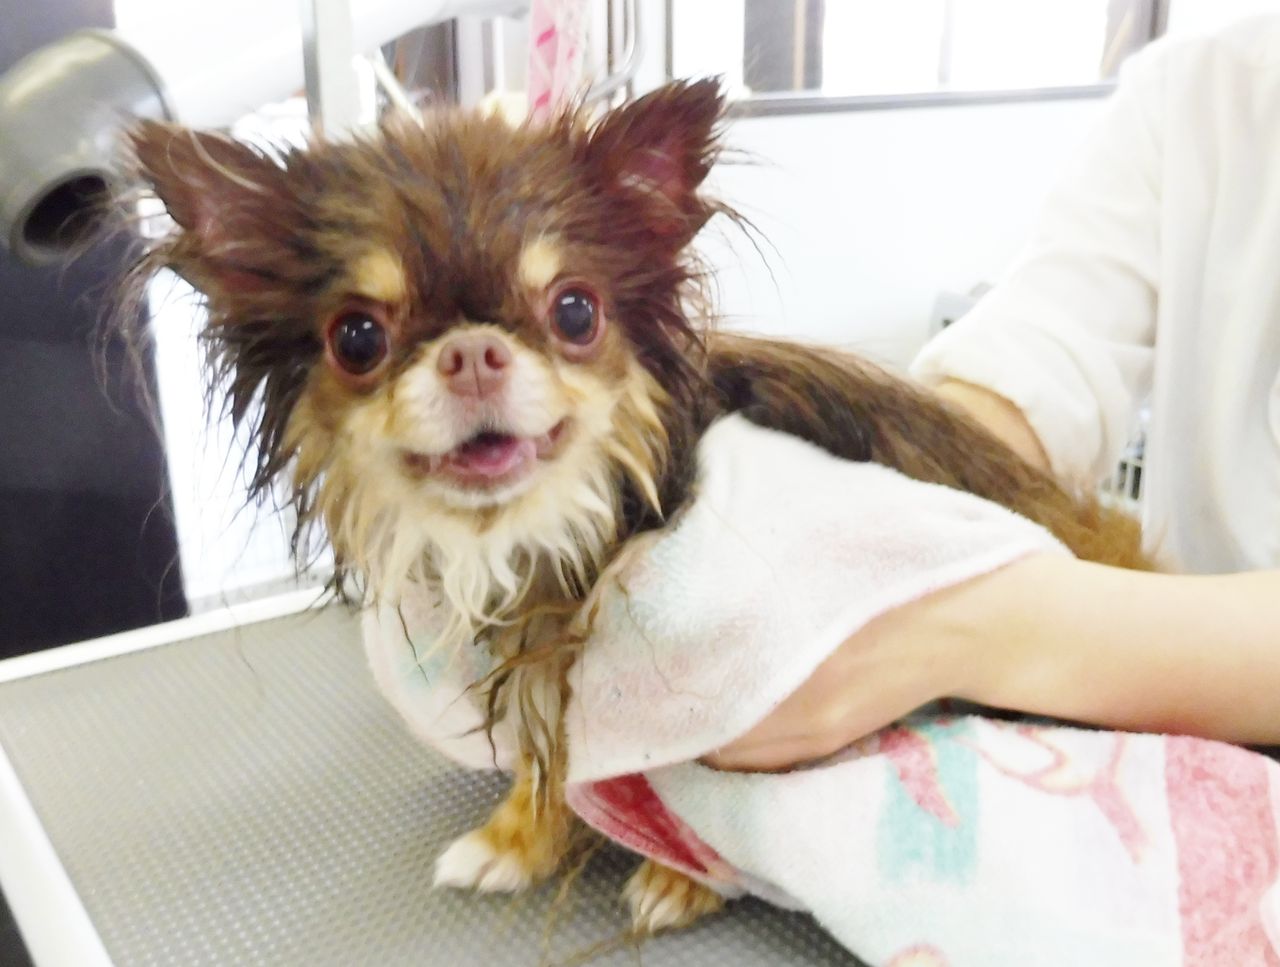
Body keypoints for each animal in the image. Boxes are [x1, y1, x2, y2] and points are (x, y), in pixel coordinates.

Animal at [126, 79, 1147, 935]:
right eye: (357, 337)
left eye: (575, 311)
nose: (471, 351)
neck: (558, 534)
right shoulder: (549, 662)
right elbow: (546, 752)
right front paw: (516, 839)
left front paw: (684, 876)